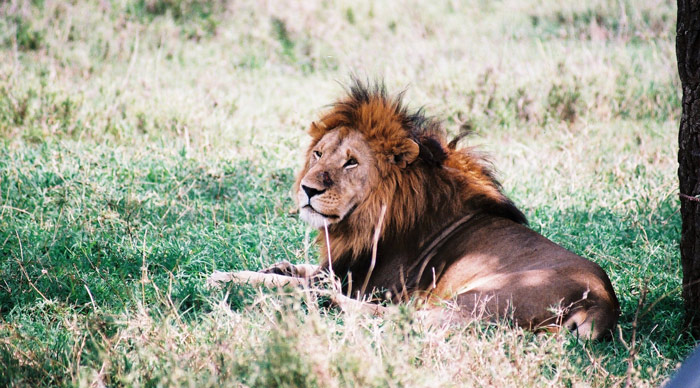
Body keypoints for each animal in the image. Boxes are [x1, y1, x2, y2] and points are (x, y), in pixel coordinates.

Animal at [221, 80, 620, 342]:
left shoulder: (366, 282)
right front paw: (277, 267)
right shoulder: (342, 265)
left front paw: (231, 277)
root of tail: (603, 302)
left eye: (351, 162)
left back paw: (319, 301)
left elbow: (293, 280)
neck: (366, 218)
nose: (308, 189)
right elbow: (302, 268)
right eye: (318, 154)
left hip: (480, 299)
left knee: (401, 317)